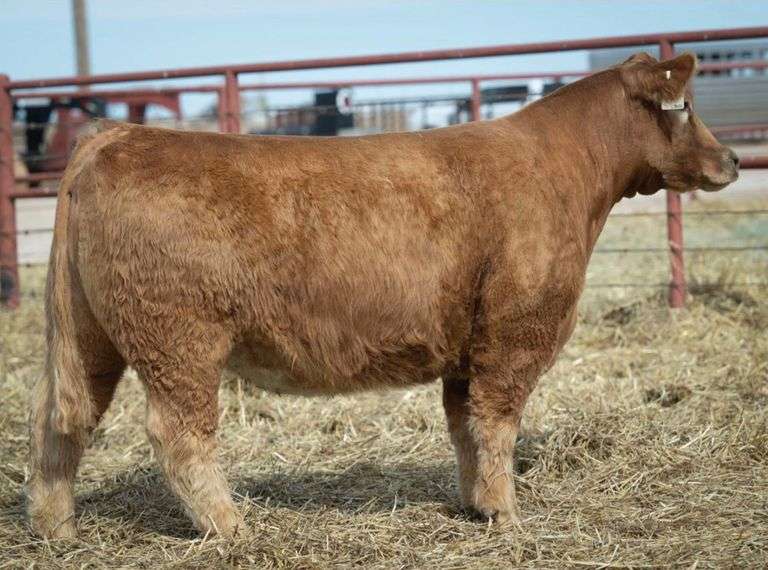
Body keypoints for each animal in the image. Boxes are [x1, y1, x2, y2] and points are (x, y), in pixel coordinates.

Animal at [27, 52, 738, 538]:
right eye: (683, 106)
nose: (732, 159)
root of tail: (115, 136)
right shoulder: (515, 334)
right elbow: (497, 425)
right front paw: (507, 514)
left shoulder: (467, 350)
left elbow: (464, 428)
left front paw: (476, 506)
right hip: (179, 339)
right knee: (177, 433)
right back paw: (233, 528)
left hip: (91, 337)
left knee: (63, 420)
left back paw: (57, 529)